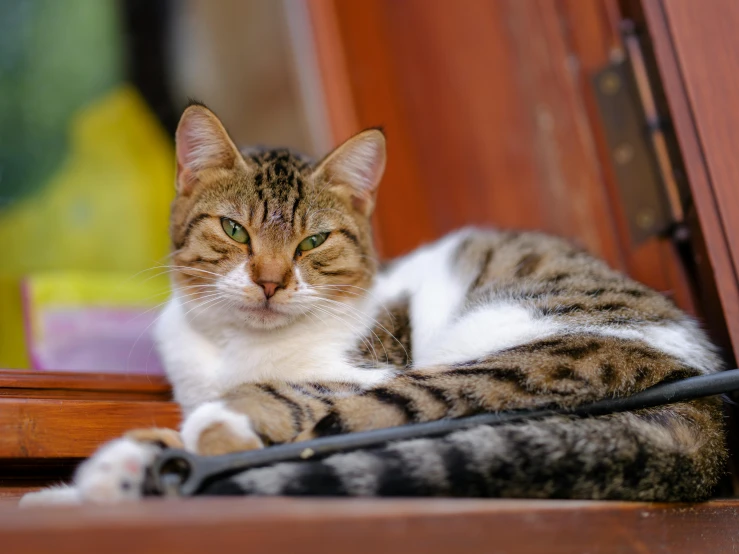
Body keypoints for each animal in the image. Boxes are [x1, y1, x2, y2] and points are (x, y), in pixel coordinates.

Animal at [20, 102, 724, 504]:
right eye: (235, 230)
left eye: (313, 240)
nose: (270, 281)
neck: (235, 346)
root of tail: (707, 418)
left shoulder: (365, 366)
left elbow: (300, 396)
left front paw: (216, 423)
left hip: (518, 357)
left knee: (376, 414)